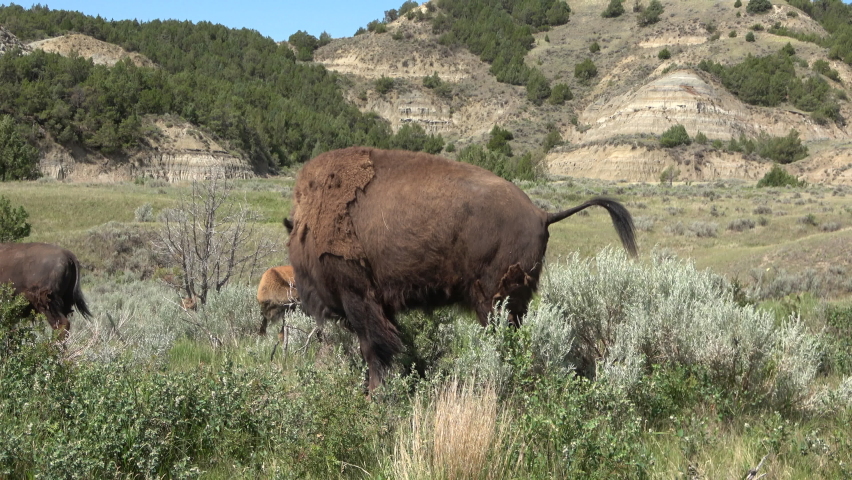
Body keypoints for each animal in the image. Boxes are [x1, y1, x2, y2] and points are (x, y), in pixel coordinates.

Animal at [286, 147, 637, 391]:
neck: (310, 220)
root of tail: (541, 213)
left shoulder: (359, 299)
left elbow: (374, 350)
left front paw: (375, 395)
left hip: (494, 300)